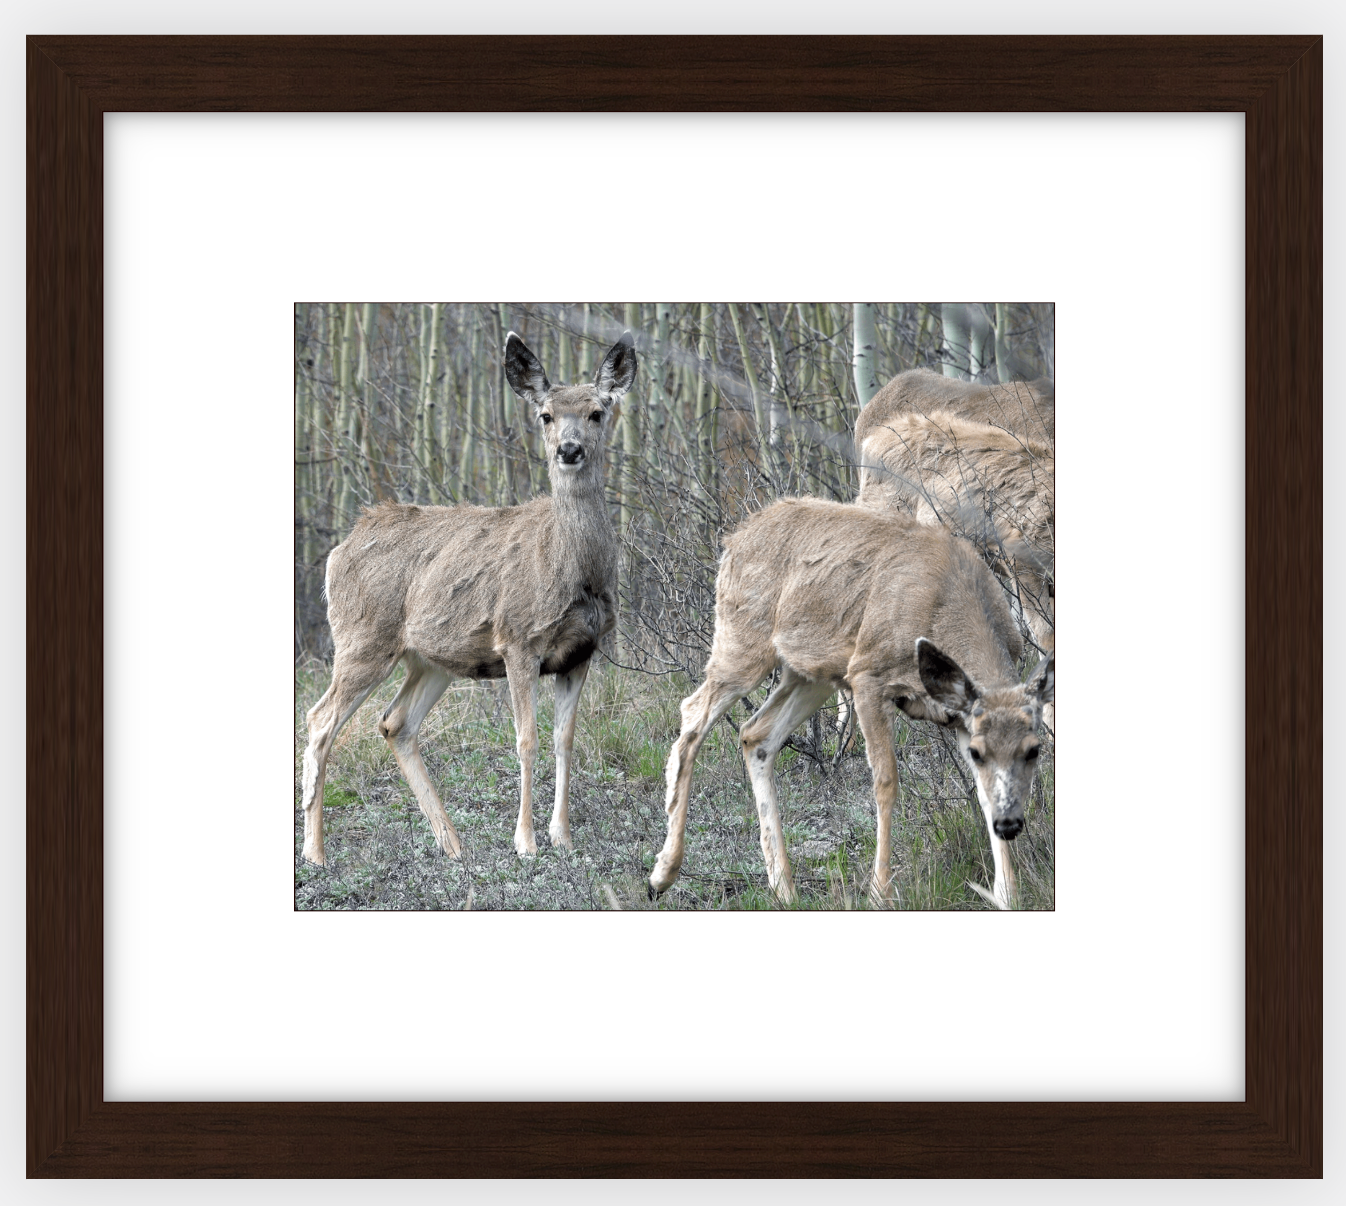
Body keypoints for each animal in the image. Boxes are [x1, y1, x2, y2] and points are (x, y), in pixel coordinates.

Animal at [300, 327, 635, 866]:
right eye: (545, 414)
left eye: (596, 412)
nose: (568, 449)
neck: (573, 571)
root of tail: (338, 551)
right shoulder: (519, 639)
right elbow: (527, 740)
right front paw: (526, 842)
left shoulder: (583, 651)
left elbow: (565, 739)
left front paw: (562, 836)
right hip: (362, 638)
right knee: (319, 719)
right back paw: (316, 852)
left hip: (430, 658)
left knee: (394, 723)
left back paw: (452, 843)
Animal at [648, 498, 1049, 904]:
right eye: (981, 752)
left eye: (1034, 749)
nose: (1010, 825)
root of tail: (734, 538)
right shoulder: (868, 675)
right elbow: (886, 783)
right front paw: (879, 893)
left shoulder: (958, 714)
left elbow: (984, 792)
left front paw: (1007, 894)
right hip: (743, 642)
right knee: (692, 715)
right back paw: (662, 873)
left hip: (811, 673)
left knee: (755, 734)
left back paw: (784, 889)